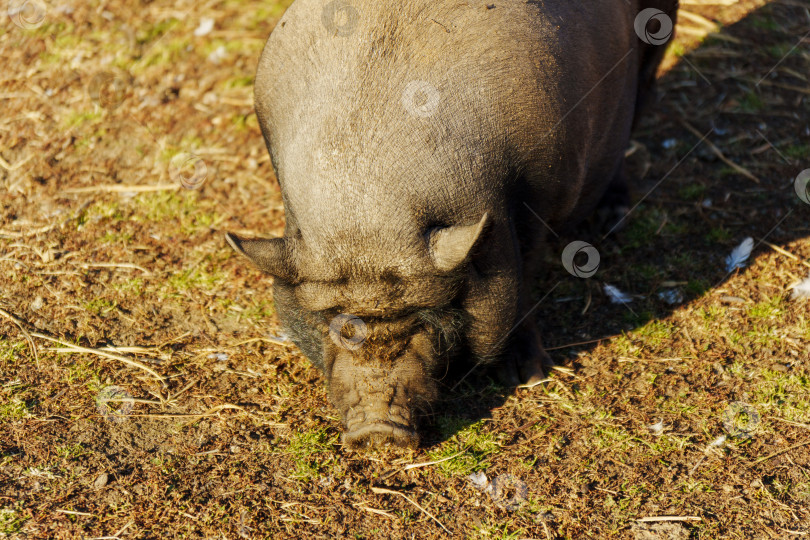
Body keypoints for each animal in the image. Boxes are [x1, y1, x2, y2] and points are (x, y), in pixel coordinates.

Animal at [226, 0, 678, 449]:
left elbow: (525, 284)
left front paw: (528, 377)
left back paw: (611, 220)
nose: (377, 430)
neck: (366, 210)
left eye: (426, 321)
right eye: (333, 325)